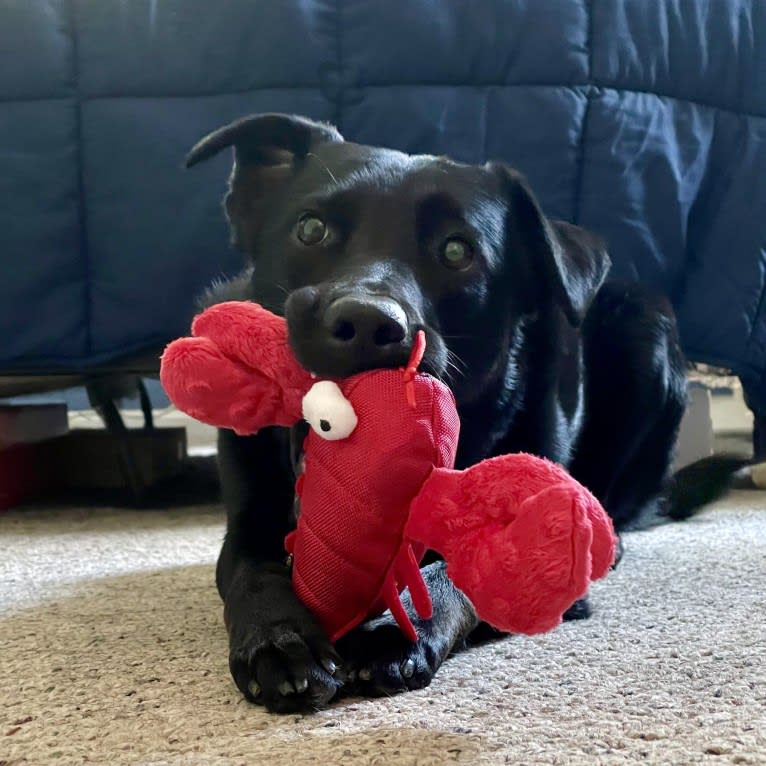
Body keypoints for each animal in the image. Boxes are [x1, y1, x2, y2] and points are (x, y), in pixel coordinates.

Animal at [186, 112, 736, 712]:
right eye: (311, 229)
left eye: (457, 251)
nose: (366, 324)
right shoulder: (249, 515)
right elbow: (249, 568)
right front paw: (281, 637)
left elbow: (466, 571)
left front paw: (399, 627)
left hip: (647, 324)